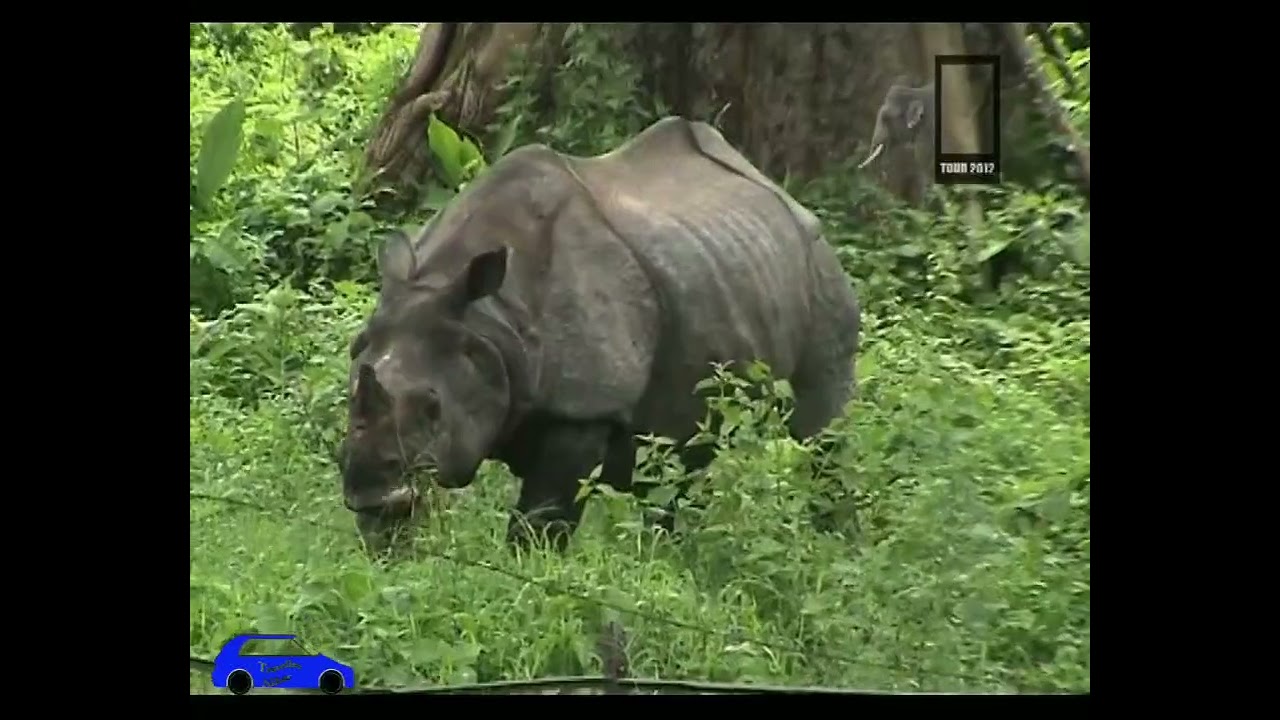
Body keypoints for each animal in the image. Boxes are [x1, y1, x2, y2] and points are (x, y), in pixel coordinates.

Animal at [338, 116, 862, 554]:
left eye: (433, 407)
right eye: (351, 394)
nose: (367, 490)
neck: (487, 320)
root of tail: (778, 190)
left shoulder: (584, 406)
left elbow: (541, 520)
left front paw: (527, 575)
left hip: (818, 265)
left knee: (819, 426)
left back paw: (837, 544)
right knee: (676, 460)